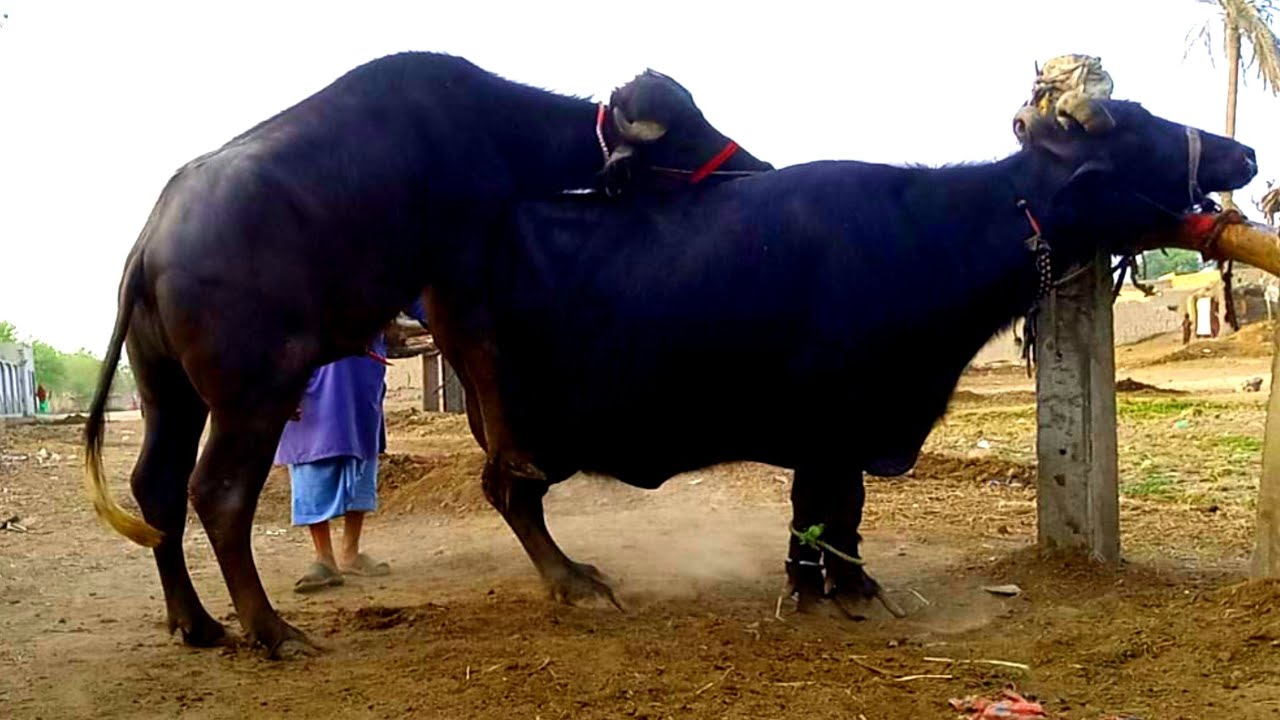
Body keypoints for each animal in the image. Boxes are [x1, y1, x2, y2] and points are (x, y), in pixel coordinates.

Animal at [82, 50, 773, 657]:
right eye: (684, 135)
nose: (760, 166)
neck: (487, 124)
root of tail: (149, 247)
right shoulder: (456, 260)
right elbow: (480, 344)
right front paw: (515, 455)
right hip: (255, 395)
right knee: (219, 494)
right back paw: (273, 631)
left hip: (168, 393)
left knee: (157, 486)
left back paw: (196, 622)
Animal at [425, 95, 1269, 620]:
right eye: (1141, 125)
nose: (1245, 150)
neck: (930, 233)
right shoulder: (835, 424)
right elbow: (830, 507)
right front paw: (841, 589)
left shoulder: (845, 431)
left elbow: (833, 512)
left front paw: (832, 583)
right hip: (528, 431)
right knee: (511, 493)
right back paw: (573, 581)